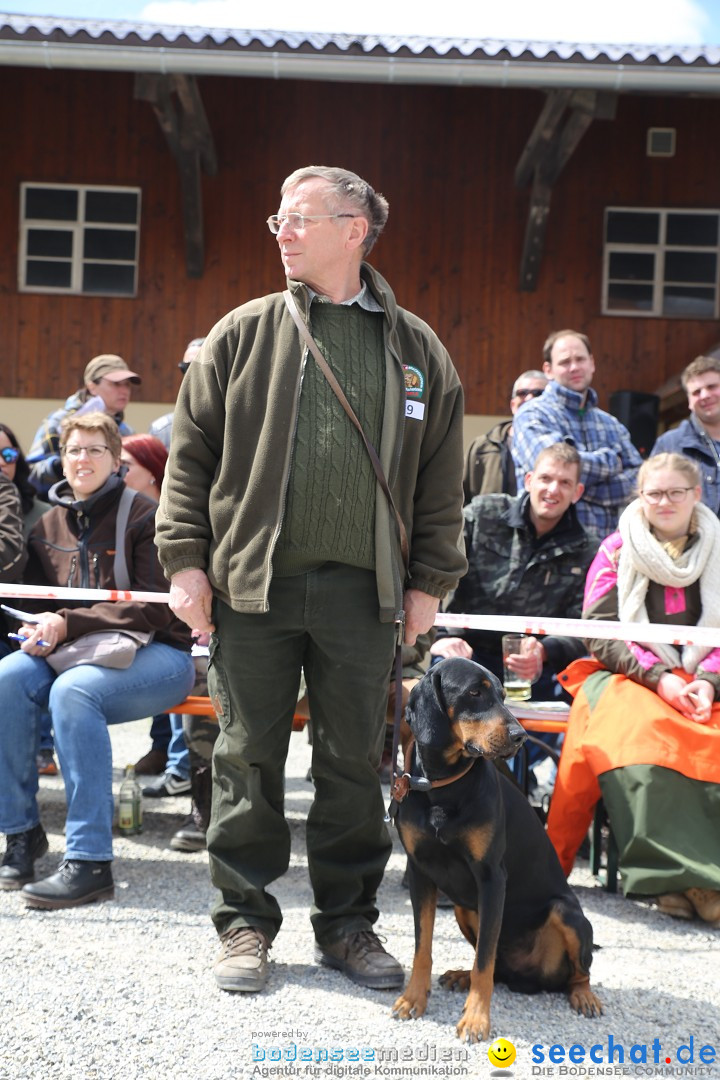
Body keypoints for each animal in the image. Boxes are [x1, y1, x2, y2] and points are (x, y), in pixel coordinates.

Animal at [390, 652, 600, 1041]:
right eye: (475, 692)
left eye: (503, 696)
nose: (520, 736)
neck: (444, 787)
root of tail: (531, 979)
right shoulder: (420, 873)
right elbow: (422, 947)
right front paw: (413, 999)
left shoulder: (491, 879)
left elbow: (484, 961)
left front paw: (476, 1019)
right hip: (463, 907)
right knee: (496, 966)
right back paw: (460, 975)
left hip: (566, 913)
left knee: (577, 972)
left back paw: (584, 996)